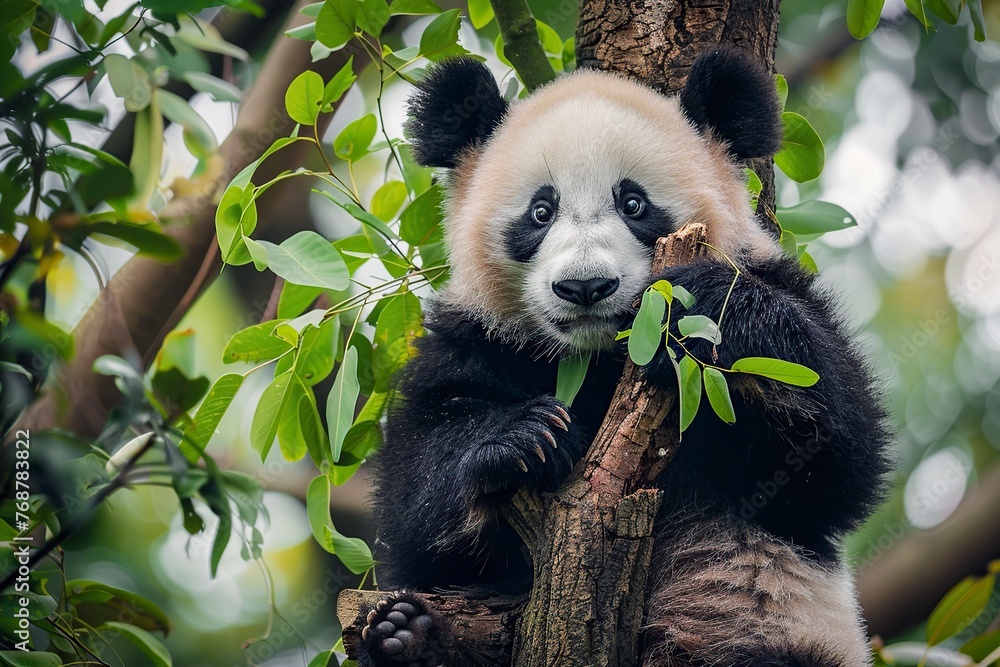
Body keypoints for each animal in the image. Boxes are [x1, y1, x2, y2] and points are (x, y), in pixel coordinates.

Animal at [357, 48, 891, 667]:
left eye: (633, 203)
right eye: (541, 211)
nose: (585, 286)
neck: (598, 359)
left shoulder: (773, 287)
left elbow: (836, 463)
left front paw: (700, 306)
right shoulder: (475, 341)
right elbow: (415, 512)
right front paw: (524, 438)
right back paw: (409, 636)